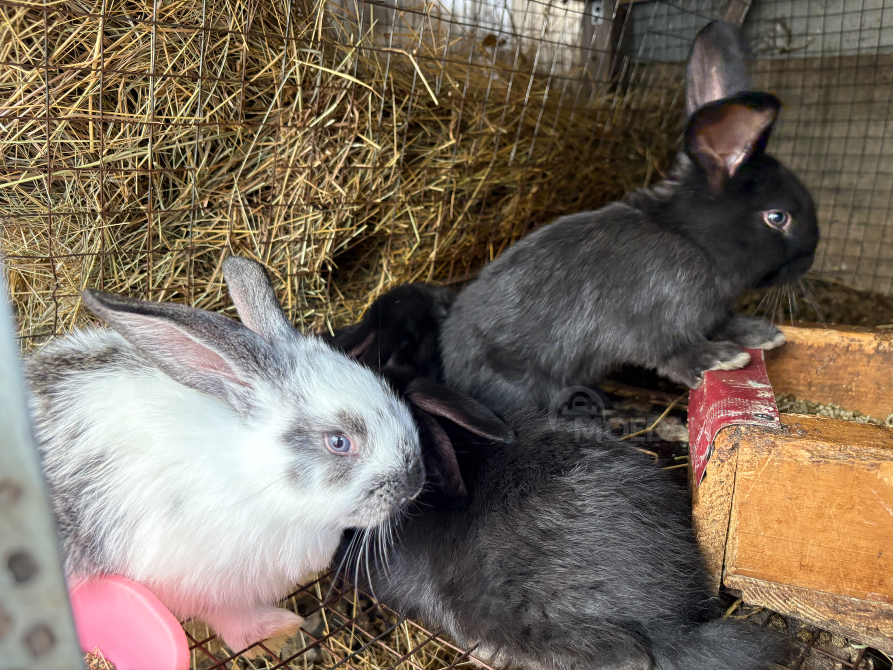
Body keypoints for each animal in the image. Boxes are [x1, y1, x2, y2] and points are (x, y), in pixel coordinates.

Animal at [26, 256, 425, 656]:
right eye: (339, 442)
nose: (416, 482)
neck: (260, 484)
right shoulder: (195, 585)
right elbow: (233, 621)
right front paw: (279, 630)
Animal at [440, 20, 819, 412]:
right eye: (778, 218)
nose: (809, 260)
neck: (692, 240)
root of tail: (450, 367)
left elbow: (722, 323)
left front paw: (762, 333)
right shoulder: (653, 328)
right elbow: (673, 354)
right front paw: (722, 358)